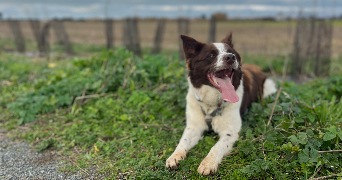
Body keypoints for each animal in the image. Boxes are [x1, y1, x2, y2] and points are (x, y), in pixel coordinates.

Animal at [166, 33, 278, 175]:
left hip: (269, 87)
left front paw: (208, 163)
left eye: (231, 53)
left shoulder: (230, 132)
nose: (230, 57)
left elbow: (216, 146)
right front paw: (174, 157)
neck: (211, 104)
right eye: (211, 55)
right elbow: (182, 141)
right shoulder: (193, 127)